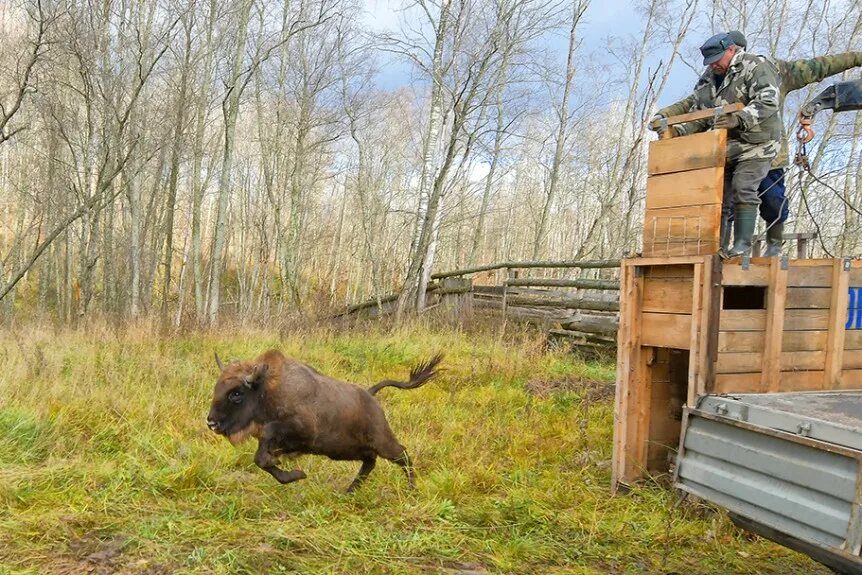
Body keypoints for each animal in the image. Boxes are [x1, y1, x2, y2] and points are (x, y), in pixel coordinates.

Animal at [206, 348, 442, 492]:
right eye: (217, 388)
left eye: (236, 393)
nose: (211, 422)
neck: (267, 390)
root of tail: (370, 393)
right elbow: (262, 459)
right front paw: (294, 473)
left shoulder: (298, 430)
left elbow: (264, 455)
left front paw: (298, 474)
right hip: (352, 449)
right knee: (370, 463)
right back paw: (349, 491)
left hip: (383, 443)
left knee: (402, 455)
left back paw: (411, 489)